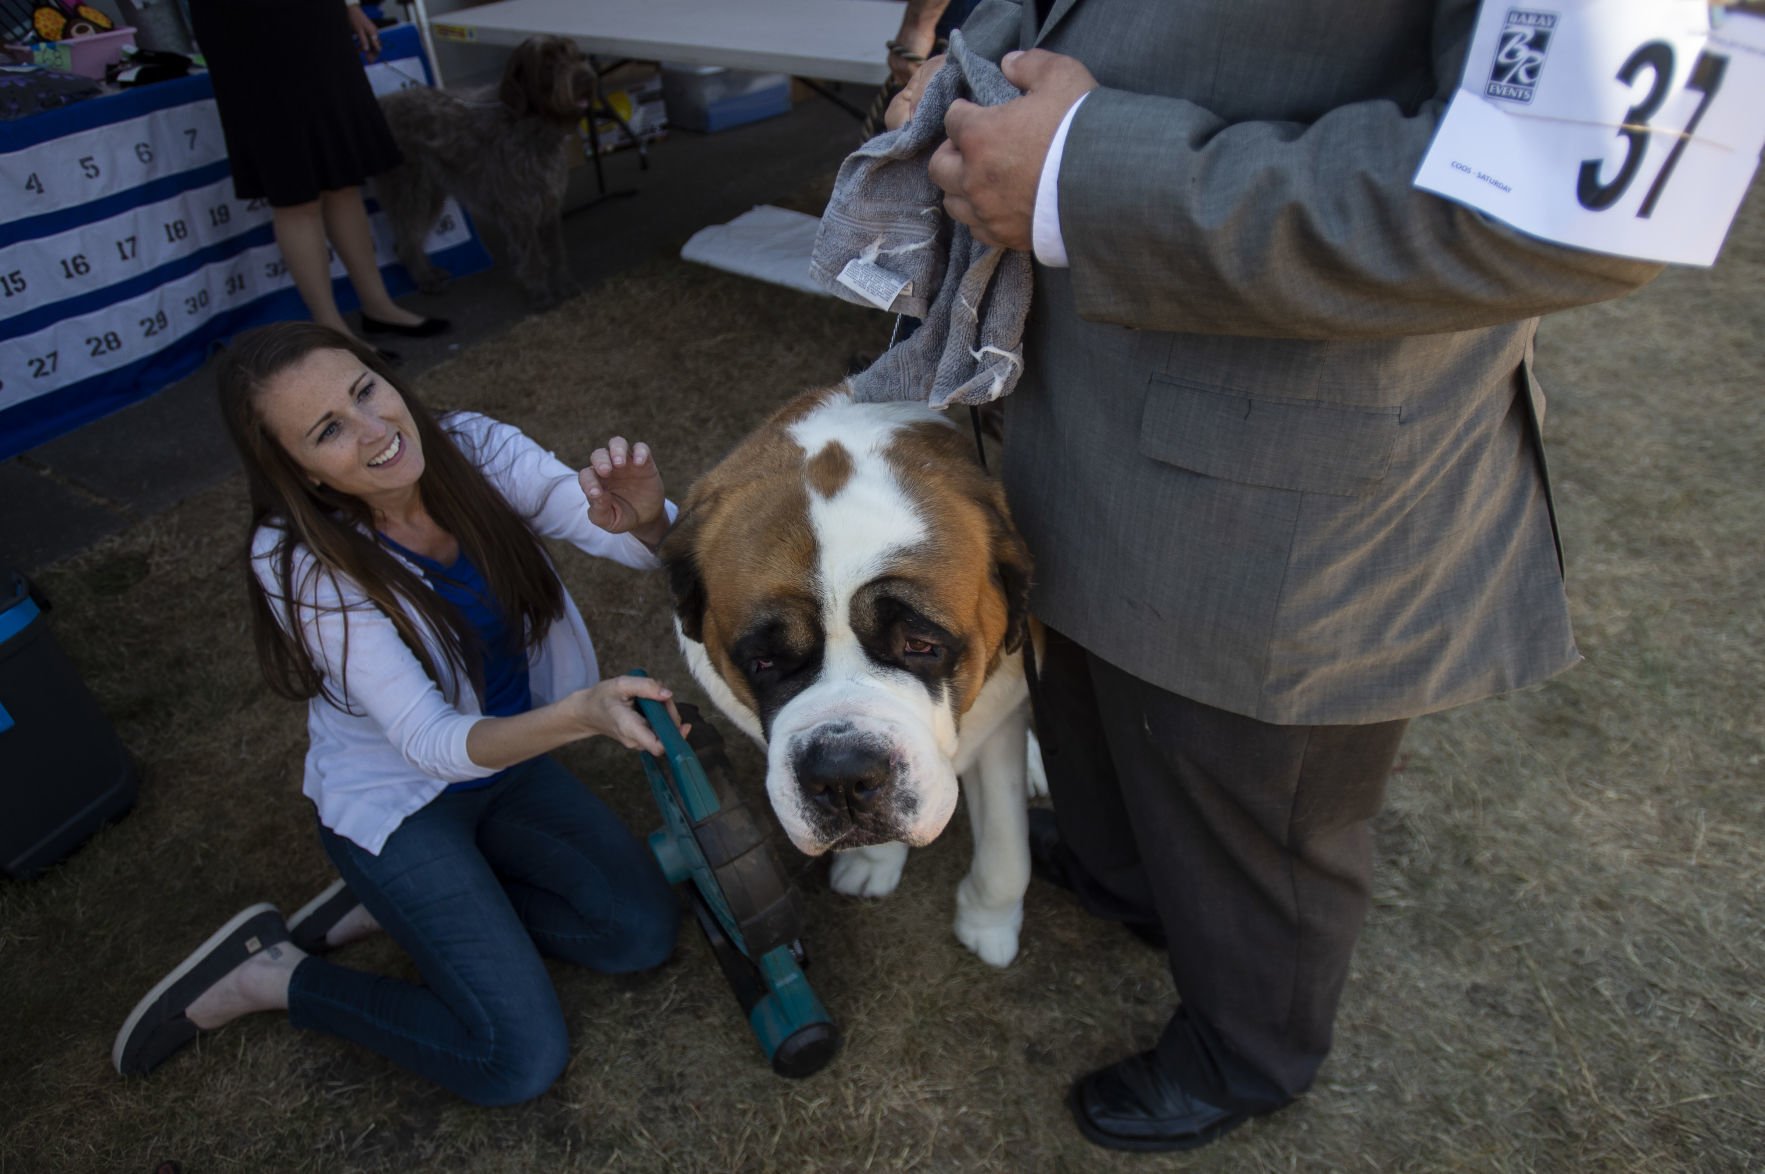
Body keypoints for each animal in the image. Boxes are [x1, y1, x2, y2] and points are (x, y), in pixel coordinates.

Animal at [375, 38, 596, 307]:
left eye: (577, 55)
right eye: (548, 62)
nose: (586, 78)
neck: (530, 125)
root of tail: (384, 102)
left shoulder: (549, 204)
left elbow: (556, 251)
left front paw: (565, 285)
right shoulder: (519, 210)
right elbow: (533, 255)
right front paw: (542, 294)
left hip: (431, 194)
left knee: (408, 240)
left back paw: (428, 273)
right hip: (411, 190)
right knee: (406, 240)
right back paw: (425, 279)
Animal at [663, 388, 1044, 967]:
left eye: (921, 645)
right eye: (763, 662)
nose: (841, 776)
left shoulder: (999, 717)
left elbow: (1007, 850)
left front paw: (987, 925)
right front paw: (873, 863)